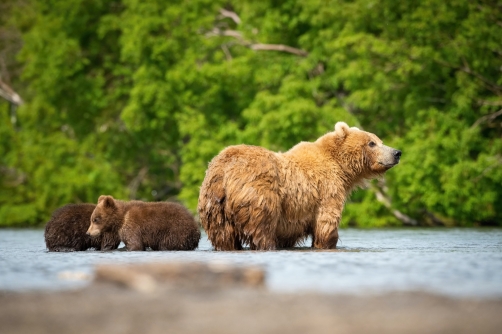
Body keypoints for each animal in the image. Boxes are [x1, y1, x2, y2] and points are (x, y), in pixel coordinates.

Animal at [196, 122, 400, 250]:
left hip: (214, 206)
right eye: (372, 143)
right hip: (258, 195)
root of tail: (223, 171)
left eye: (380, 141)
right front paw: (326, 243)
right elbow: (326, 224)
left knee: (224, 237)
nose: (397, 152)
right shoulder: (327, 190)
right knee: (262, 229)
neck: (343, 170)